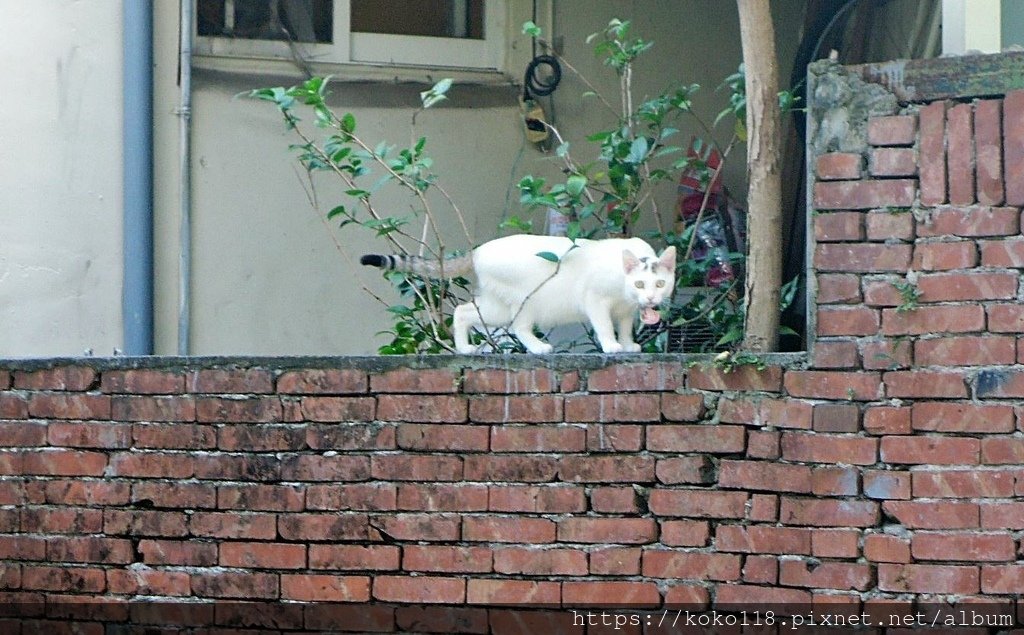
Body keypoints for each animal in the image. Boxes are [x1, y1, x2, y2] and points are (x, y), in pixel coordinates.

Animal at [358, 234, 671, 352]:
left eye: (660, 284)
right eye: (639, 284)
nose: (651, 300)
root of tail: (478, 250)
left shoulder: (627, 311)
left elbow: (626, 327)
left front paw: (628, 344)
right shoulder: (595, 300)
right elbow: (605, 325)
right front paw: (612, 345)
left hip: (496, 307)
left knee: (463, 311)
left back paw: (464, 348)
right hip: (525, 301)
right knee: (519, 328)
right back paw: (538, 347)